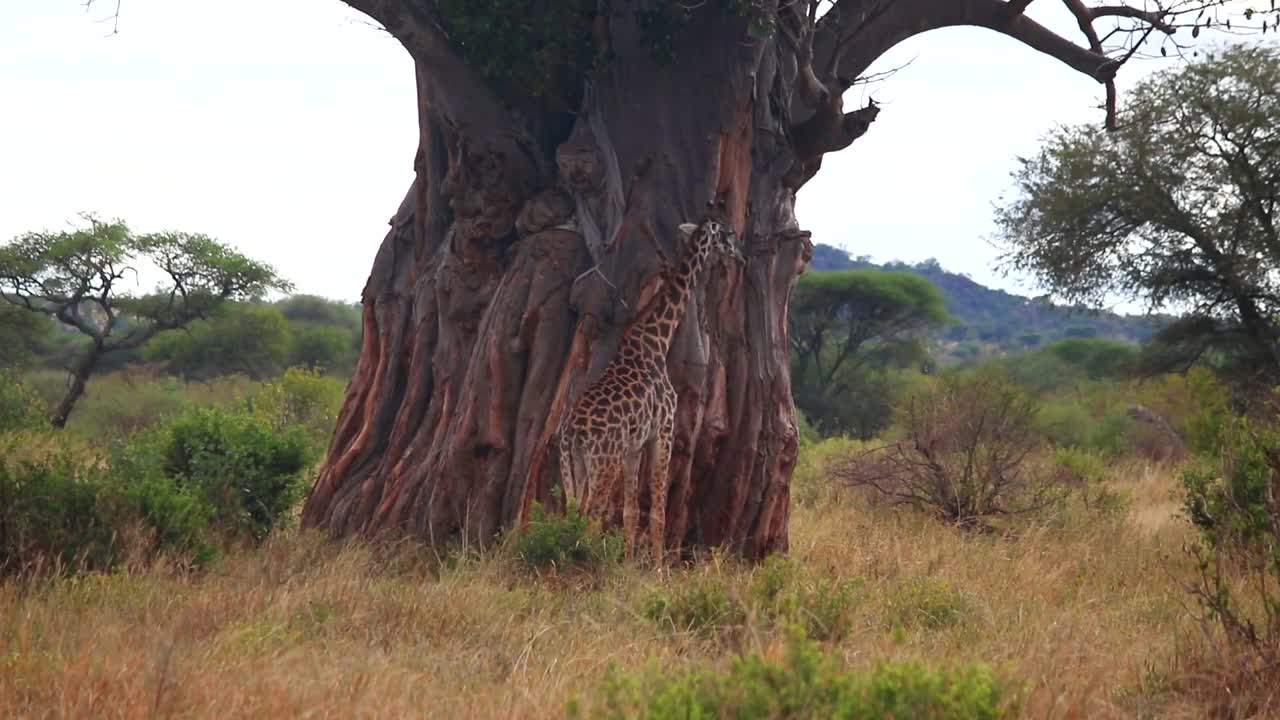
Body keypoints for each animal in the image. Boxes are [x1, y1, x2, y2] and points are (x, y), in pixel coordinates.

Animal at [558, 212, 743, 564]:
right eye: (727, 234)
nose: (742, 257)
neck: (656, 339)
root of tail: (573, 429)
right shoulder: (664, 429)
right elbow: (658, 511)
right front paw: (657, 568)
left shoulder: (635, 445)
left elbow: (631, 512)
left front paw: (629, 563)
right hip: (604, 462)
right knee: (590, 514)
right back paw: (587, 564)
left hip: (570, 463)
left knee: (574, 510)